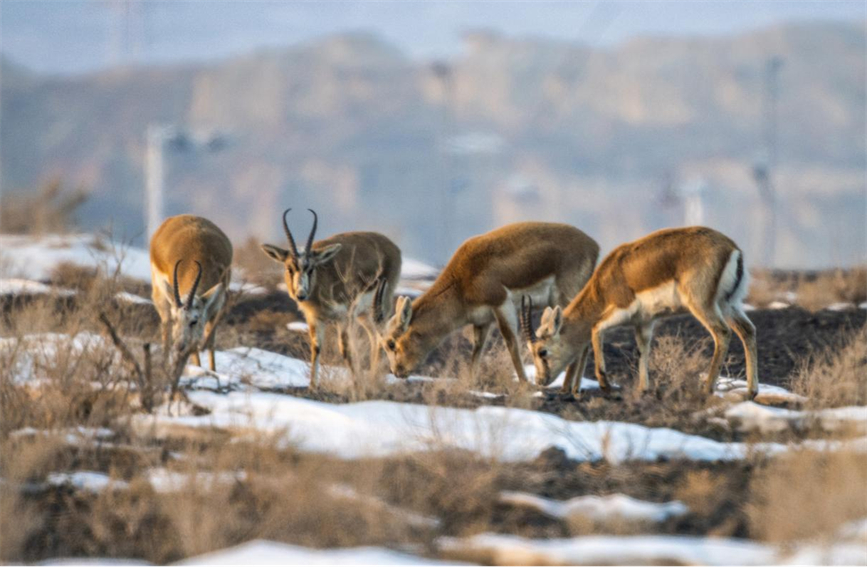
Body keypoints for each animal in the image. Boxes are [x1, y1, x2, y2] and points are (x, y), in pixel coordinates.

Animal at [150, 214, 233, 371]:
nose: (179, 346)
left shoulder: (216, 307)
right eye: (176, 319)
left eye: (194, 320)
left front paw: (212, 371)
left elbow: (210, 341)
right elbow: (193, 346)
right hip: (161, 296)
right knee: (165, 330)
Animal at [261, 209, 402, 386]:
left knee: (383, 335)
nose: (301, 294)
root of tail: (392, 247)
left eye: (311, 268)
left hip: (381, 307)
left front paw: (357, 385)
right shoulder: (314, 318)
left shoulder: (344, 318)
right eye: (289, 268)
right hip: (363, 315)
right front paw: (313, 387)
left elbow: (346, 349)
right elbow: (316, 347)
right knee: (374, 337)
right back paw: (371, 378)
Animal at [382, 222, 599, 385]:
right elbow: (477, 349)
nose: (397, 372)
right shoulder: (482, 321)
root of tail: (593, 246)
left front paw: (524, 384)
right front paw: (470, 383)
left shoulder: (502, 305)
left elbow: (511, 343)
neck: (461, 281)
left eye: (392, 343)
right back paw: (575, 390)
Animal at [523, 226, 758, 398]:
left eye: (542, 351)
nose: (540, 381)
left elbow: (596, 327)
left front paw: (606, 385)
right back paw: (751, 391)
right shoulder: (644, 322)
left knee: (722, 333)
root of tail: (732, 249)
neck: (604, 283)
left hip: (703, 305)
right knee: (748, 331)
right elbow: (642, 349)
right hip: (729, 304)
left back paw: (707, 389)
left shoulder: (620, 311)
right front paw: (642, 389)